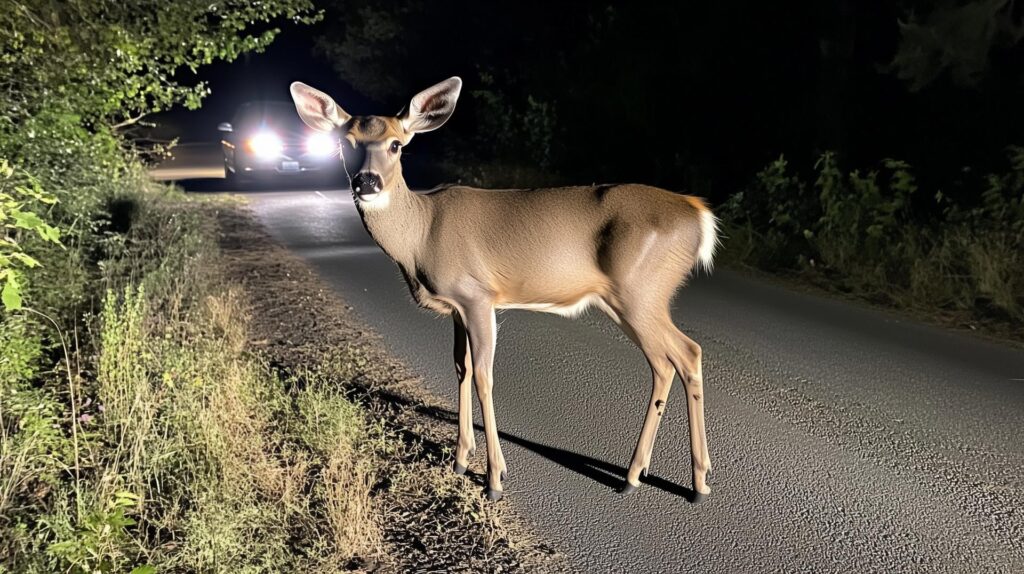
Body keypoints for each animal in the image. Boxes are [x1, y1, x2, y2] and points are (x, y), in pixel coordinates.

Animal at [290, 77, 720, 501]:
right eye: (346, 142)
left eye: (396, 144)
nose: (367, 182)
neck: (420, 236)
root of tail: (699, 213)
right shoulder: (457, 308)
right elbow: (461, 368)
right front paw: (461, 459)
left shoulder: (477, 295)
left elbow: (484, 376)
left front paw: (494, 478)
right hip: (630, 298)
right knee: (670, 361)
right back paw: (646, 473)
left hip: (641, 292)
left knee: (685, 353)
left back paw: (680, 482)